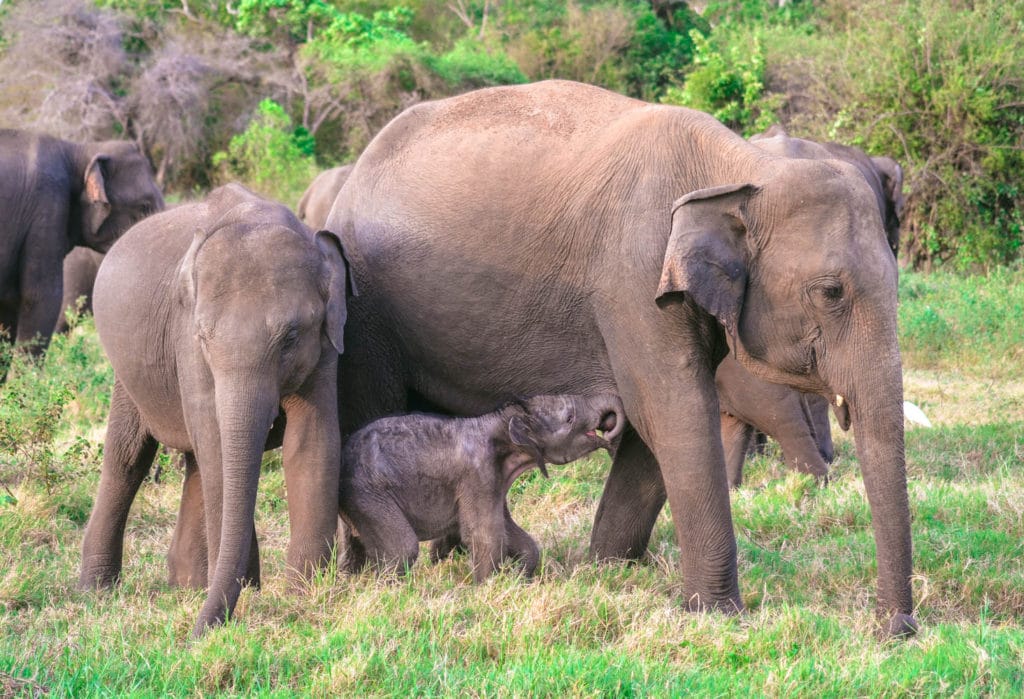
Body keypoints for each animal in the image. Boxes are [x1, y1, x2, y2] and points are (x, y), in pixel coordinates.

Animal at [78, 183, 356, 638]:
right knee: (128, 457)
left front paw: (305, 594)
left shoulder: (327, 344)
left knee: (192, 464)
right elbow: (216, 443)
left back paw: (187, 585)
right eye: (205, 338)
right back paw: (97, 590)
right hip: (128, 373)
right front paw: (250, 593)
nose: (192, 637)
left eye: (291, 336)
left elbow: (311, 441)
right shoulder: (185, 339)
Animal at [337, 392, 622, 581]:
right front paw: (487, 587)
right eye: (570, 418)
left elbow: (509, 531)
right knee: (402, 550)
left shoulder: (495, 481)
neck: (501, 420)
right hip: (369, 496)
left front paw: (520, 576)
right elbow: (486, 533)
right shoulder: (478, 475)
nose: (610, 428)